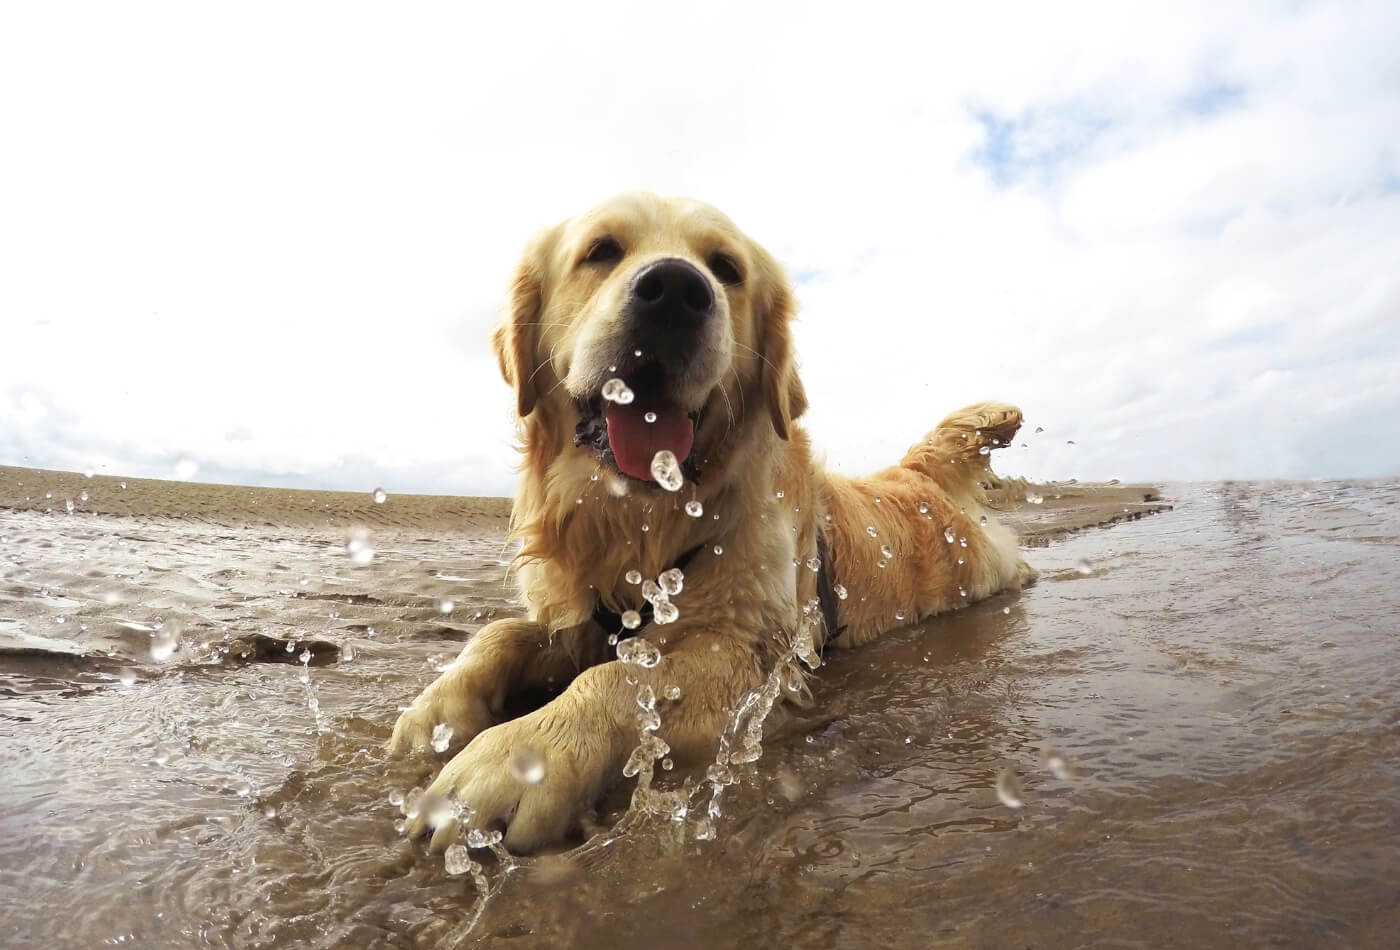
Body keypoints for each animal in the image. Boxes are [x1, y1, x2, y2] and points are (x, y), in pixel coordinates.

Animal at [389, 193, 1036, 856]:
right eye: (600, 251)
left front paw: (520, 757)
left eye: (725, 268)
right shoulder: (579, 613)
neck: (642, 525)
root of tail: (915, 470)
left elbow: (621, 675)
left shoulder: (754, 660)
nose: (675, 291)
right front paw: (436, 710)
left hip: (979, 567)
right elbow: (504, 634)